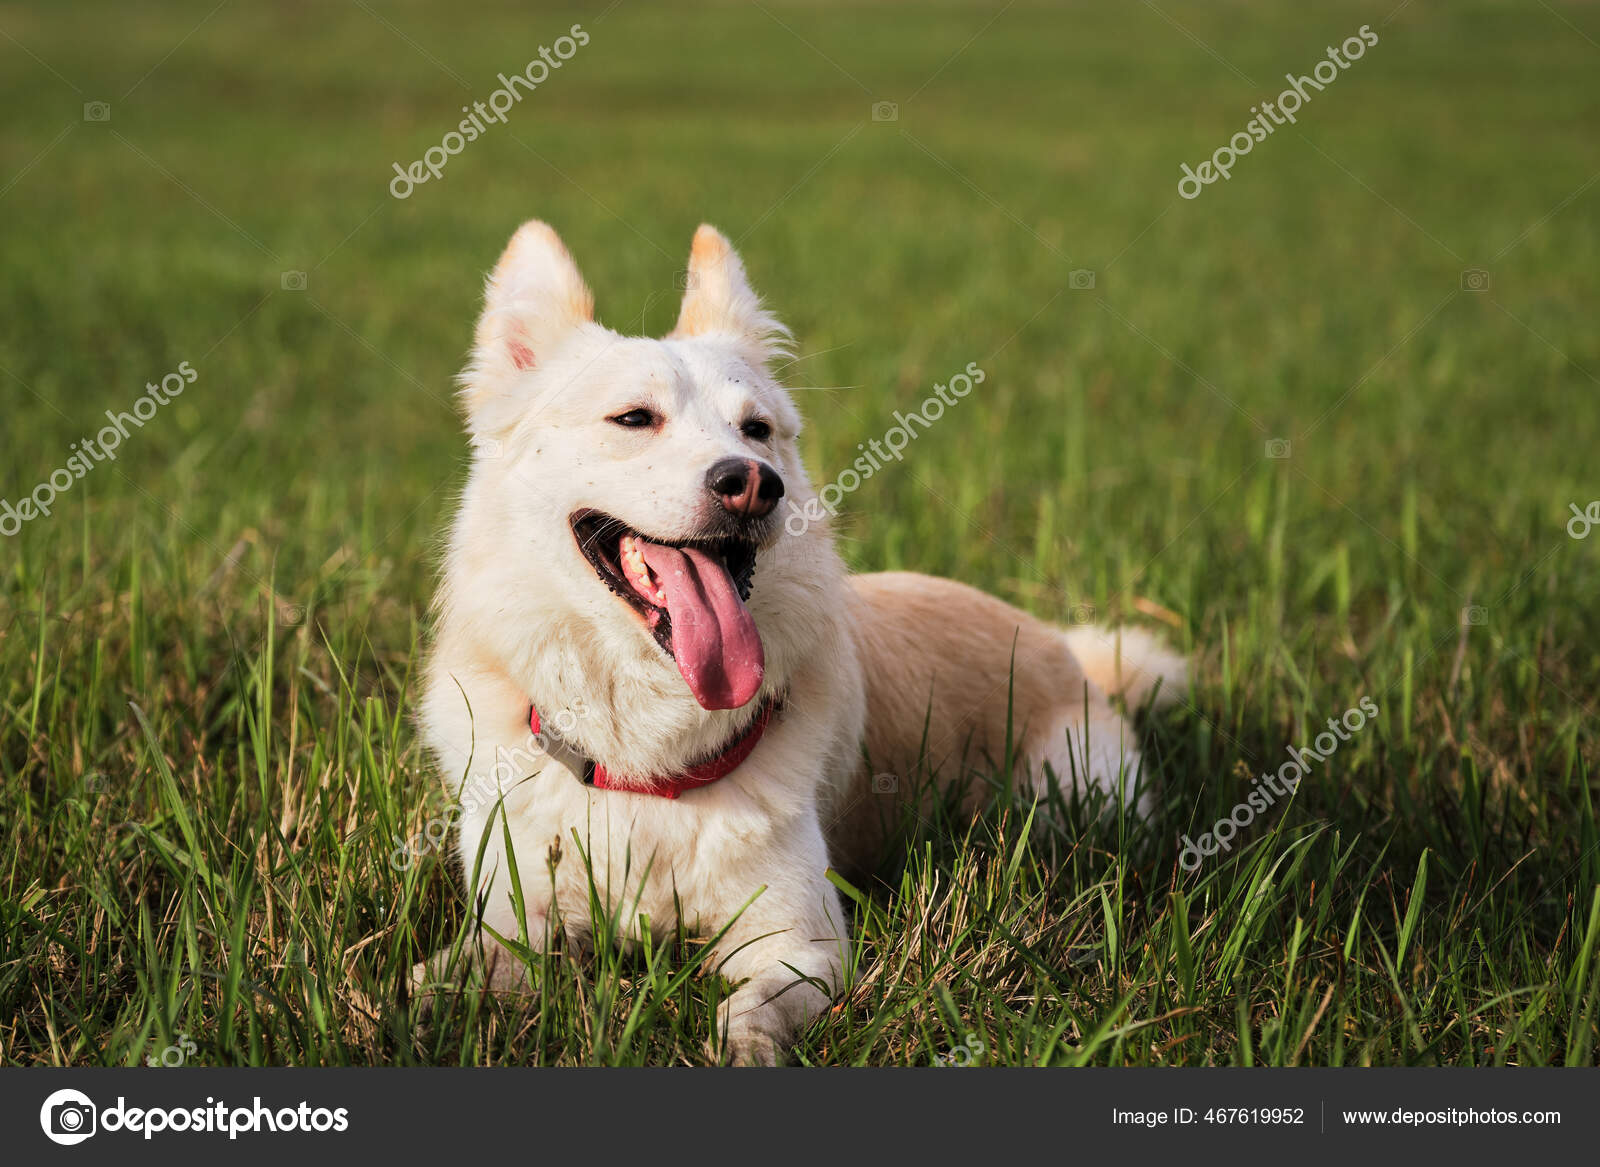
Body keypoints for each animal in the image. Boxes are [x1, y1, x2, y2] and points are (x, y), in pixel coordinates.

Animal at [412, 220, 1190, 1062]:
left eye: (757, 430)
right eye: (633, 418)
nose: (753, 482)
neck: (649, 752)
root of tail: (1067, 649)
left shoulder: (802, 943)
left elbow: (748, 1010)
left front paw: (741, 1048)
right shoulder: (516, 914)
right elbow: (456, 968)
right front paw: (414, 1005)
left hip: (1071, 794)